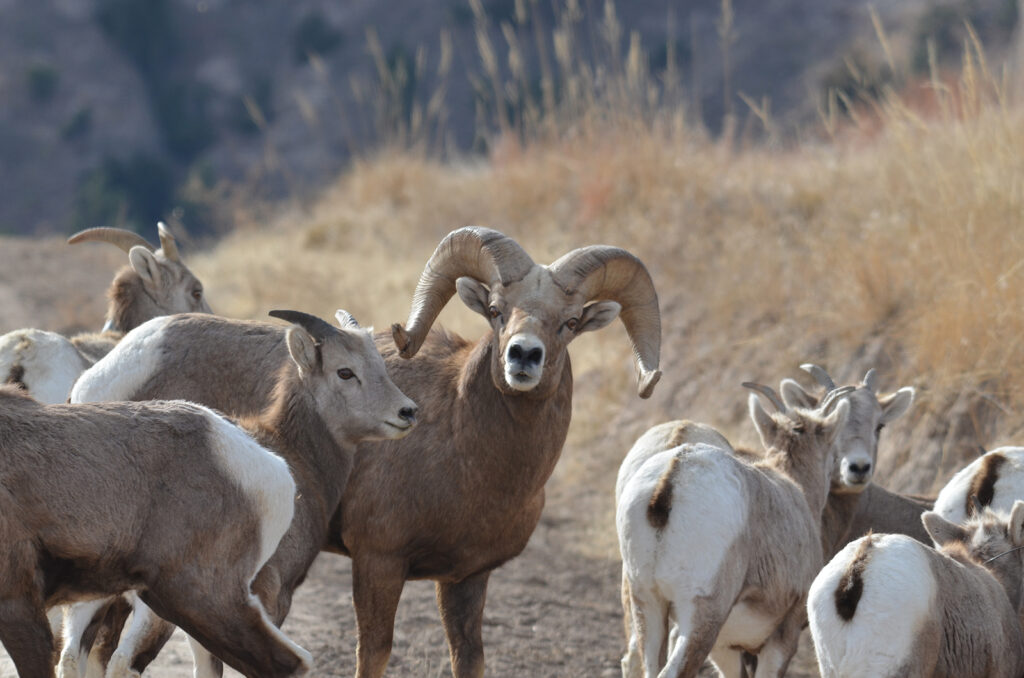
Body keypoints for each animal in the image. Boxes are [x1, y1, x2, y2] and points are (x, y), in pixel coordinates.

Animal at [59, 309, 417, 678]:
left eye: (379, 364)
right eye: (345, 371)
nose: (407, 412)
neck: (293, 455)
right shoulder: (270, 597)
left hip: (97, 599)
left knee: (72, 657)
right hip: (166, 605)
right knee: (123, 661)